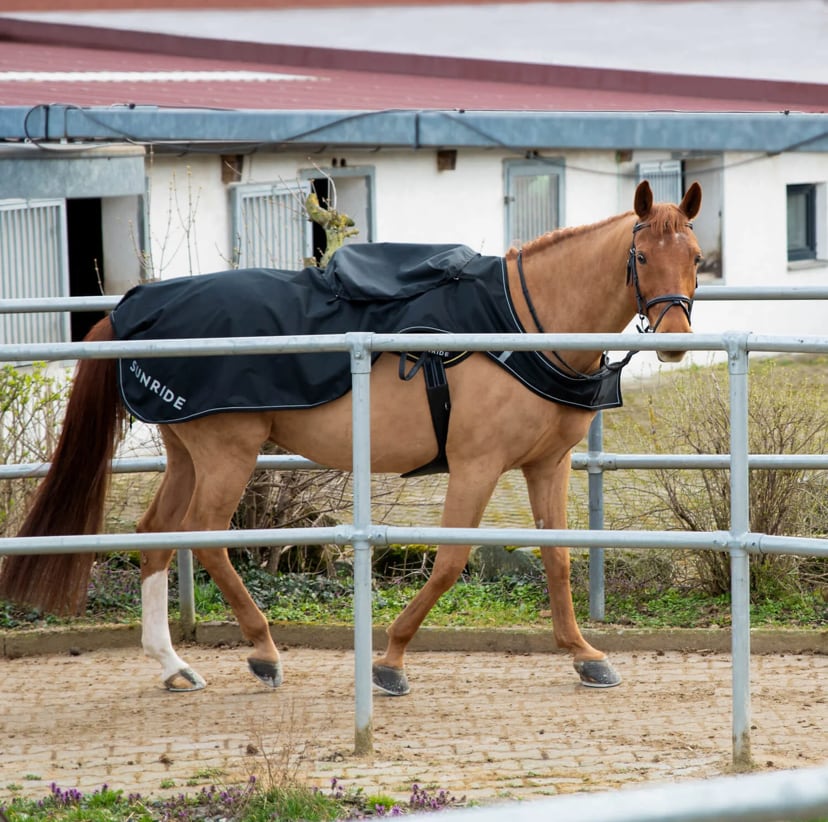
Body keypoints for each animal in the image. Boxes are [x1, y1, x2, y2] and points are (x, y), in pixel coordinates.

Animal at [0, 180, 704, 696]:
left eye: (696, 258)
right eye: (642, 256)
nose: (674, 340)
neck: (518, 324)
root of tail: (134, 309)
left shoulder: (547, 465)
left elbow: (559, 560)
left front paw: (584, 654)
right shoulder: (477, 466)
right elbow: (450, 562)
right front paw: (390, 660)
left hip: (188, 456)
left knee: (156, 537)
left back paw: (173, 665)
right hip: (227, 455)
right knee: (207, 538)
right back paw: (263, 650)